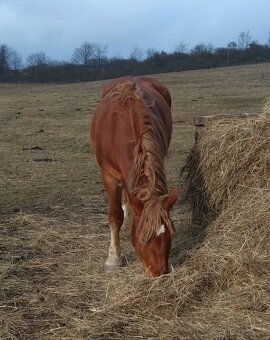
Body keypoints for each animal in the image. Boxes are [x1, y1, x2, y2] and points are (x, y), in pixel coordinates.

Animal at [92, 76, 178, 276]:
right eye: (142, 237)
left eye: (170, 235)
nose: (159, 273)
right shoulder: (109, 177)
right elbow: (115, 216)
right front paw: (113, 259)